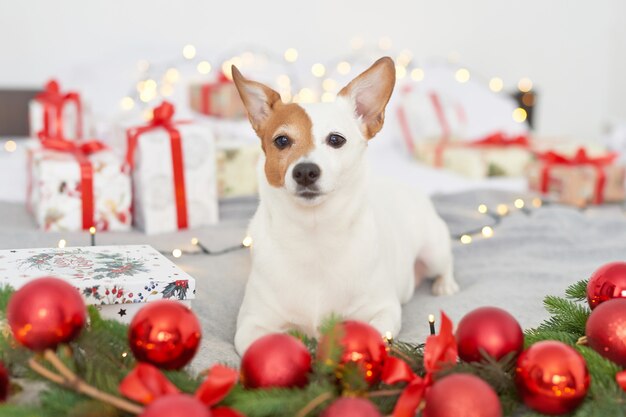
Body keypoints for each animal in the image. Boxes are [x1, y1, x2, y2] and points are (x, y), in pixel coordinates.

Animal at [232, 56, 456, 354]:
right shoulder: (250, 325)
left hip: (433, 250)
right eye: (281, 140)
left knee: (445, 263)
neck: (314, 235)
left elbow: (374, 334)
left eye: (336, 140)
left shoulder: (384, 310)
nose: (305, 171)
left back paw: (446, 285)